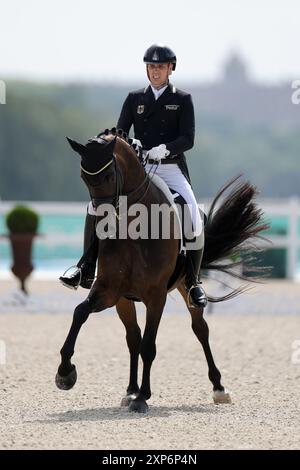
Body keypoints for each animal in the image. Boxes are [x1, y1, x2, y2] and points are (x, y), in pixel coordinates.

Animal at [55, 129, 268, 412]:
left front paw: (143, 397)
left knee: (200, 330)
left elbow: (150, 345)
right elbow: (80, 313)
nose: (103, 222)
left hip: (186, 287)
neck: (133, 228)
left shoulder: (156, 296)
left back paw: (219, 388)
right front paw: (65, 373)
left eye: (109, 176)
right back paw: (130, 390)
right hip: (124, 300)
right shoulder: (109, 290)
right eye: (83, 177)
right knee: (132, 337)